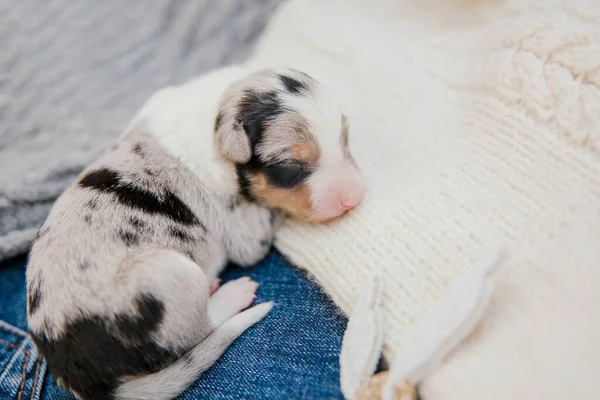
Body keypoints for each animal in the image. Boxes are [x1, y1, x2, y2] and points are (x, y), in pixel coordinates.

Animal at [25, 67, 364, 398]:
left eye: (346, 139)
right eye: (291, 168)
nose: (355, 197)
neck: (215, 116)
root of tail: (83, 379)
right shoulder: (245, 231)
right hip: (171, 276)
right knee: (202, 325)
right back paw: (232, 293)